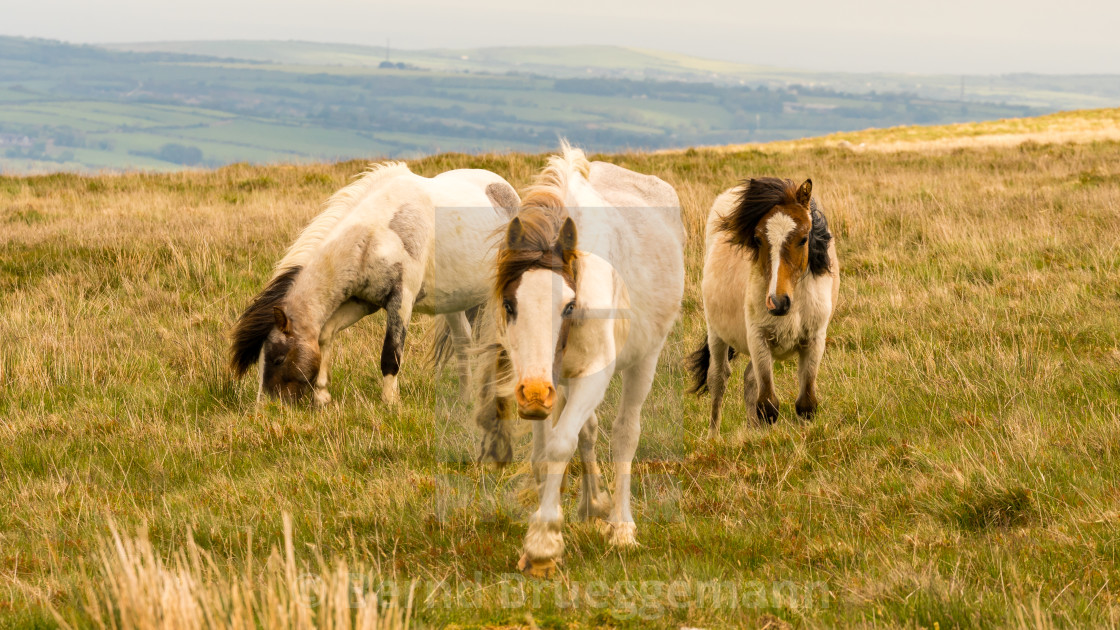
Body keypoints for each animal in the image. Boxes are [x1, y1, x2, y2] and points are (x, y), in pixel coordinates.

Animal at [230, 161, 524, 403]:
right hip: (453, 303)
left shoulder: (401, 302)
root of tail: (506, 190)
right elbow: (326, 335)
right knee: (463, 344)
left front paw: (390, 404)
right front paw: (322, 396)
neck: (376, 236)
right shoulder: (361, 303)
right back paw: (465, 401)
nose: (266, 407)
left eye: (278, 358)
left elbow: (390, 355)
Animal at [470, 142, 680, 573]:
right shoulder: (541, 380)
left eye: (569, 305)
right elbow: (544, 453)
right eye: (510, 304)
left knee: (624, 434)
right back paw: (592, 504)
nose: (535, 393)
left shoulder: (592, 375)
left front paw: (543, 545)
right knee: (590, 429)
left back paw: (621, 527)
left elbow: (559, 446)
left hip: (644, 360)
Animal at [680, 173, 842, 434]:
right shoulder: (758, 337)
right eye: (757, 239)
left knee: (748, 379)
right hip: (717, 333)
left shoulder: (814, 340)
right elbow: (768, 406)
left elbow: (806, 404)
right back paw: (713, 436)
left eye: (803, 239)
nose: (777, 302)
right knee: (718, 379)